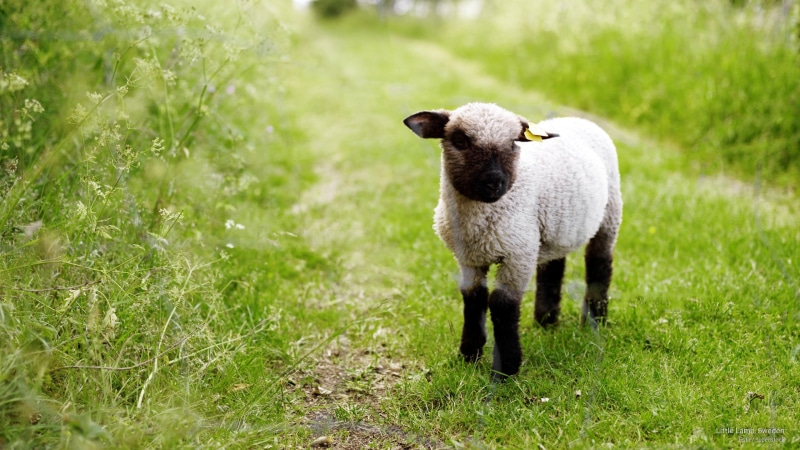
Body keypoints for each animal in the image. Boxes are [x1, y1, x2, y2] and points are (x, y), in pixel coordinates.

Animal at [403, 102, 622, 378]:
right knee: (553, 267)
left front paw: (507, 369)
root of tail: (578, 119)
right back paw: (546, 322)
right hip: (553, 231)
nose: (494, 182)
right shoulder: (468, 258)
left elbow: (503, 305)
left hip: (609, 214)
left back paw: (595, 321)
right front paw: (469, 356)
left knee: (599, 264)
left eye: (512, 144)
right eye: (461, 141)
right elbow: (474, 298)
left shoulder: (518, 254)